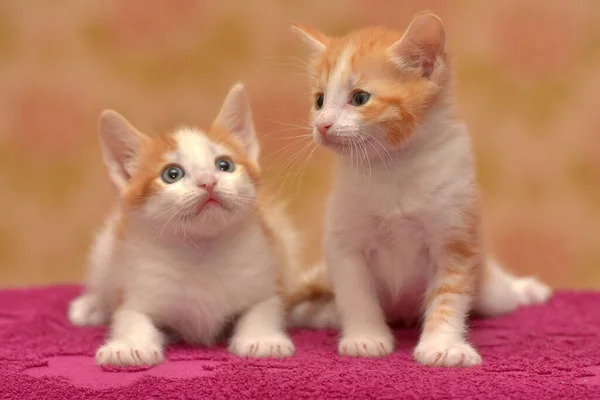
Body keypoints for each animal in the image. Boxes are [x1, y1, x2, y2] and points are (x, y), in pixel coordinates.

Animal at [67, 83, 298, 366]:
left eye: (224, 165)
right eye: (172, 174)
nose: (208, 181)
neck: (202, 251)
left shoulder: (265, 269)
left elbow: (264, 308)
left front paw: (262, 338)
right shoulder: (139, 283)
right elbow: (130, 316)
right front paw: (129, 345)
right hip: (106, 250)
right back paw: (91, 306)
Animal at [292, 10, 552, 368]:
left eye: (360, 98)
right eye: (319, 101)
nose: (322, 125)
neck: (394, 166)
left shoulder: (456, 235)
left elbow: (449, 296)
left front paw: (442, 345)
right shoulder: (344, 241)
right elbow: (356, 294)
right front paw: (365, 337)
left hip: (489, 290)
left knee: (502, 294)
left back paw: (525, 289)